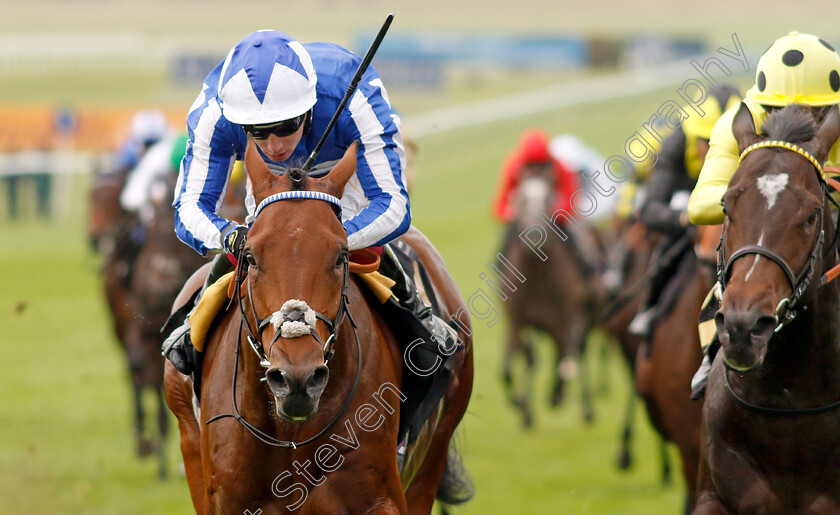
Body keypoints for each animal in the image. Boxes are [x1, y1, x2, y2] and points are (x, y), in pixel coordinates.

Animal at [164, 139, 472, 512]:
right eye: (250, 256)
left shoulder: (381, 498)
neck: (290, 433)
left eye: (342, 256)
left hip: (433, 455)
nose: (297, 378)